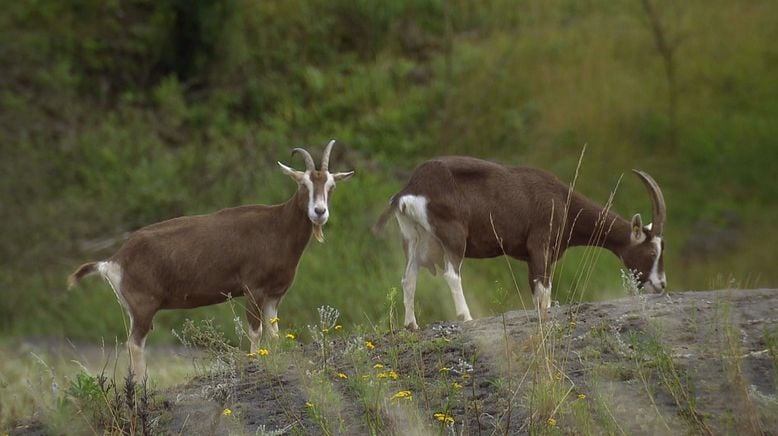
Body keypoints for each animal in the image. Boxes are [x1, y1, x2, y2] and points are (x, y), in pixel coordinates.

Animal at [68, 141, 354, 378]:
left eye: (331, 186)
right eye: (303, 184)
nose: (319, 212)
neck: (276, 226)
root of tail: (114, 260)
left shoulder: (274, 296)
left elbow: (274, 334)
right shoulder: (253, 289)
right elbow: (255, 331)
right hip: (143, 309)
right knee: (134, 345)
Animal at [372, 155, 664, 328]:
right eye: (652, 252)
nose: (661, 285)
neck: (564, 202)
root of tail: (409, 190)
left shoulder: (530, 257)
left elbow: (536, 291)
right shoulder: (540, 247)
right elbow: (544, 291)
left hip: (415, 240)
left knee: (409, 278)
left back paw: (411, 325)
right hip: (453, 237)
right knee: (451, 274)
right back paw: (466, 316)